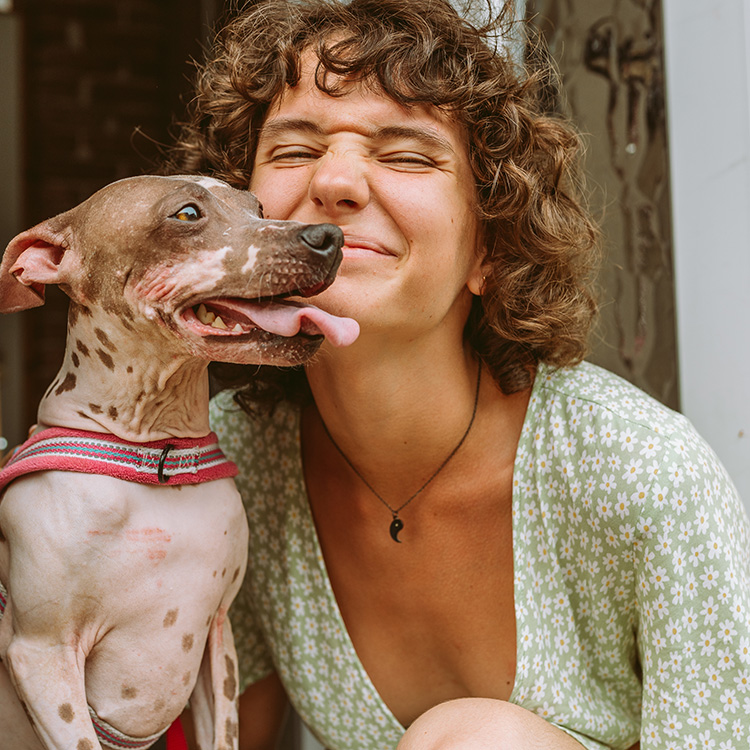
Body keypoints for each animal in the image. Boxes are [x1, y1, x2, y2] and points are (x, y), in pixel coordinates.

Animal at [0, 176, 362, 750]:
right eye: (187, 213)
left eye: (258, 206)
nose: (329, 236)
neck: (153, 457)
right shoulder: (41, 656)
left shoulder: (219, 638)